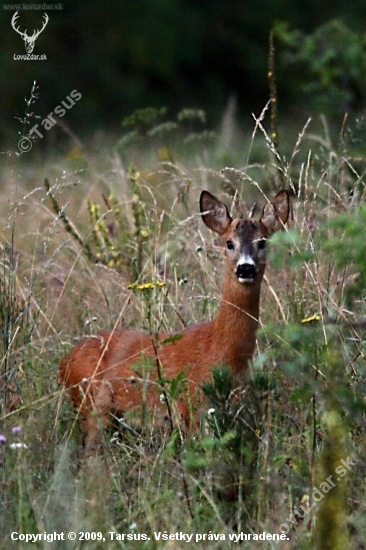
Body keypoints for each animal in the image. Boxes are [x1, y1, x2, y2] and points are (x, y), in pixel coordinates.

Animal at [59, 191, 288, 452]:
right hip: (92, 405)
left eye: (262, 241)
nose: (246, 268)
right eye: (229, 243)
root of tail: (65, 361)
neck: (223, 351)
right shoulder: (192, 405)